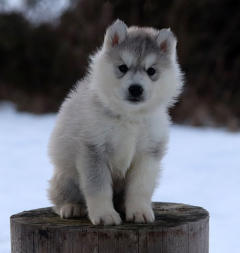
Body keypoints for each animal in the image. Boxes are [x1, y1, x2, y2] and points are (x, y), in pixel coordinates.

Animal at [47, 19, 183, 225]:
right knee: (60, 196)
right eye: (123, 67)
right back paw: (71, 207)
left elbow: (140, 187)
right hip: (65, 175)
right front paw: (105, 215)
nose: (136, 89)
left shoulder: (148, 153)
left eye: (151, 71)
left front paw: (139, 211)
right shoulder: (93, 150)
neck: (129, 116)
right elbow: (99, 188)